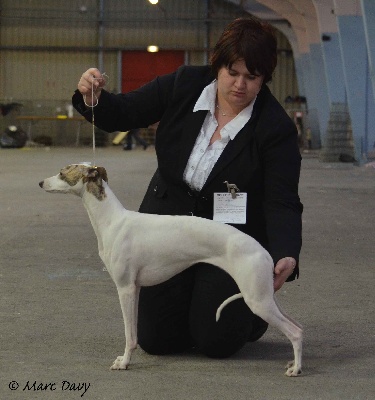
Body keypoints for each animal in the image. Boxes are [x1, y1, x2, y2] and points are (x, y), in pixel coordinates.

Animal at [39, 164, 302, 376]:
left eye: (62, 172)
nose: (40, 183)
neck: (113, 220)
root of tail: (264, 252)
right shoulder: (134, 288)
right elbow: (133, 333)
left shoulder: (125, 288)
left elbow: (129, 335)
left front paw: (124, 363)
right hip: (264, 296)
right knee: (297, 326)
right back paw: (293, 362)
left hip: (256, 300)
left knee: (295, 332)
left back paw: (296, 369)